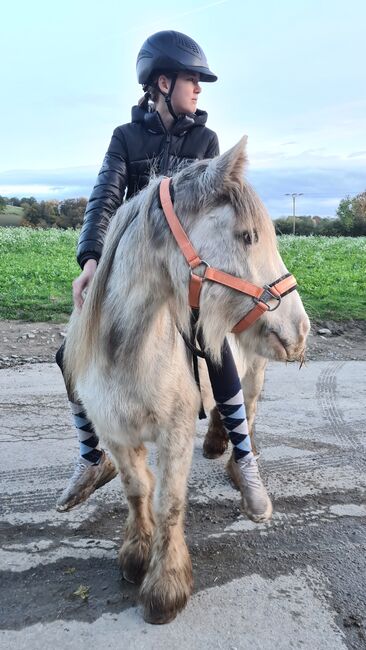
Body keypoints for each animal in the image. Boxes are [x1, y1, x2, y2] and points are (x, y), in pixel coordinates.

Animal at [64, 138, 310, 624]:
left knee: (246, 410)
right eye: (248, 236)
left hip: (255, 371)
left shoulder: (174, 433)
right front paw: (136, 554)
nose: (301, 329)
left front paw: (166, 586)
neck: (130, 353)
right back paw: (214, 441)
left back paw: (243, 470)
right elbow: (138, 488)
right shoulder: (117, 435)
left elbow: (169, 501)